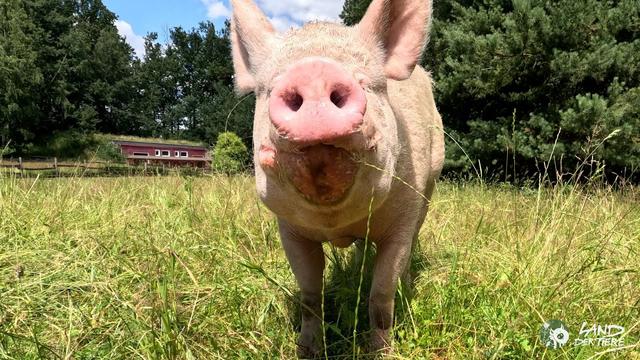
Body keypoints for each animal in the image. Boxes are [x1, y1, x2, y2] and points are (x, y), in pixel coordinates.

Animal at [230, 0, 444, 356]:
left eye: (367, 82)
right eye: (268, 88)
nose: (314, 71)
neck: (336, 222)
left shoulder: (402, 218)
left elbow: (381, 297)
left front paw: (381, 353)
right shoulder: (290, 231)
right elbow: (310, 295)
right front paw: (307, 351)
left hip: (428, 191)